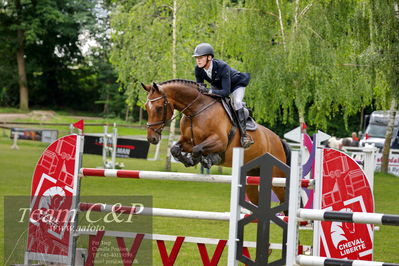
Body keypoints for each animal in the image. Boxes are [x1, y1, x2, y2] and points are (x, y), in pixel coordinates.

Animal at [141, 79, 290, 204]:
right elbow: (175, 149)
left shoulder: (220, 141)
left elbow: (198, 150)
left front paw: (207, 159)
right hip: (252, 177)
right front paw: (189, 160)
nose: (151, 138)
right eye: (146, 107)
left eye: (159, 107)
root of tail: (278, 140)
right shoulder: (188, 141)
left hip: (276, 178)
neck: (196, 110)